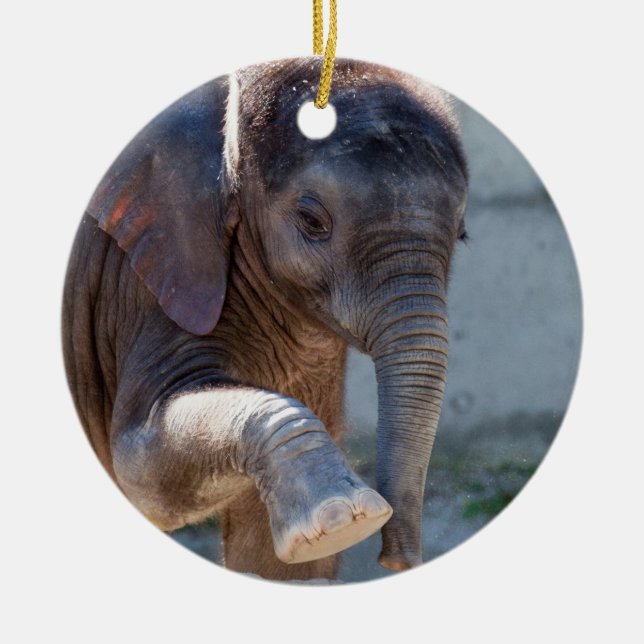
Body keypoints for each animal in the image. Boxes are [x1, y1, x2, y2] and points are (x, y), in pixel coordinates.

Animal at [62, 57, 468, 581]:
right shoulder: (149, 275)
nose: (395, 560)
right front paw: (345, 521)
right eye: (312, 222)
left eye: (462, 234)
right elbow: (140, 471)